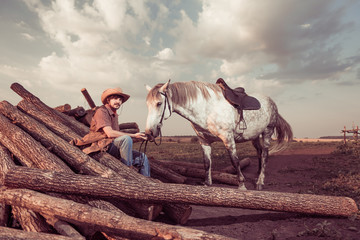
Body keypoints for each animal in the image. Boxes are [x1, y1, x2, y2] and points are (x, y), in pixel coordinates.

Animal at [145, 80, 294, 189]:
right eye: (147, 104)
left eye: (159, 103)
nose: (149, 132)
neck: (207, 109)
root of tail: (271, 101)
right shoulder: (204, 141)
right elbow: (207, 163)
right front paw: (207, 183)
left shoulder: (228, 139)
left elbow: (235, 162)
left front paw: (242, 185)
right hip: (255, 136)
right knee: (259, 152)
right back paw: (258, 174)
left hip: (267, 132)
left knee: (265, 155)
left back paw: (260, 182)